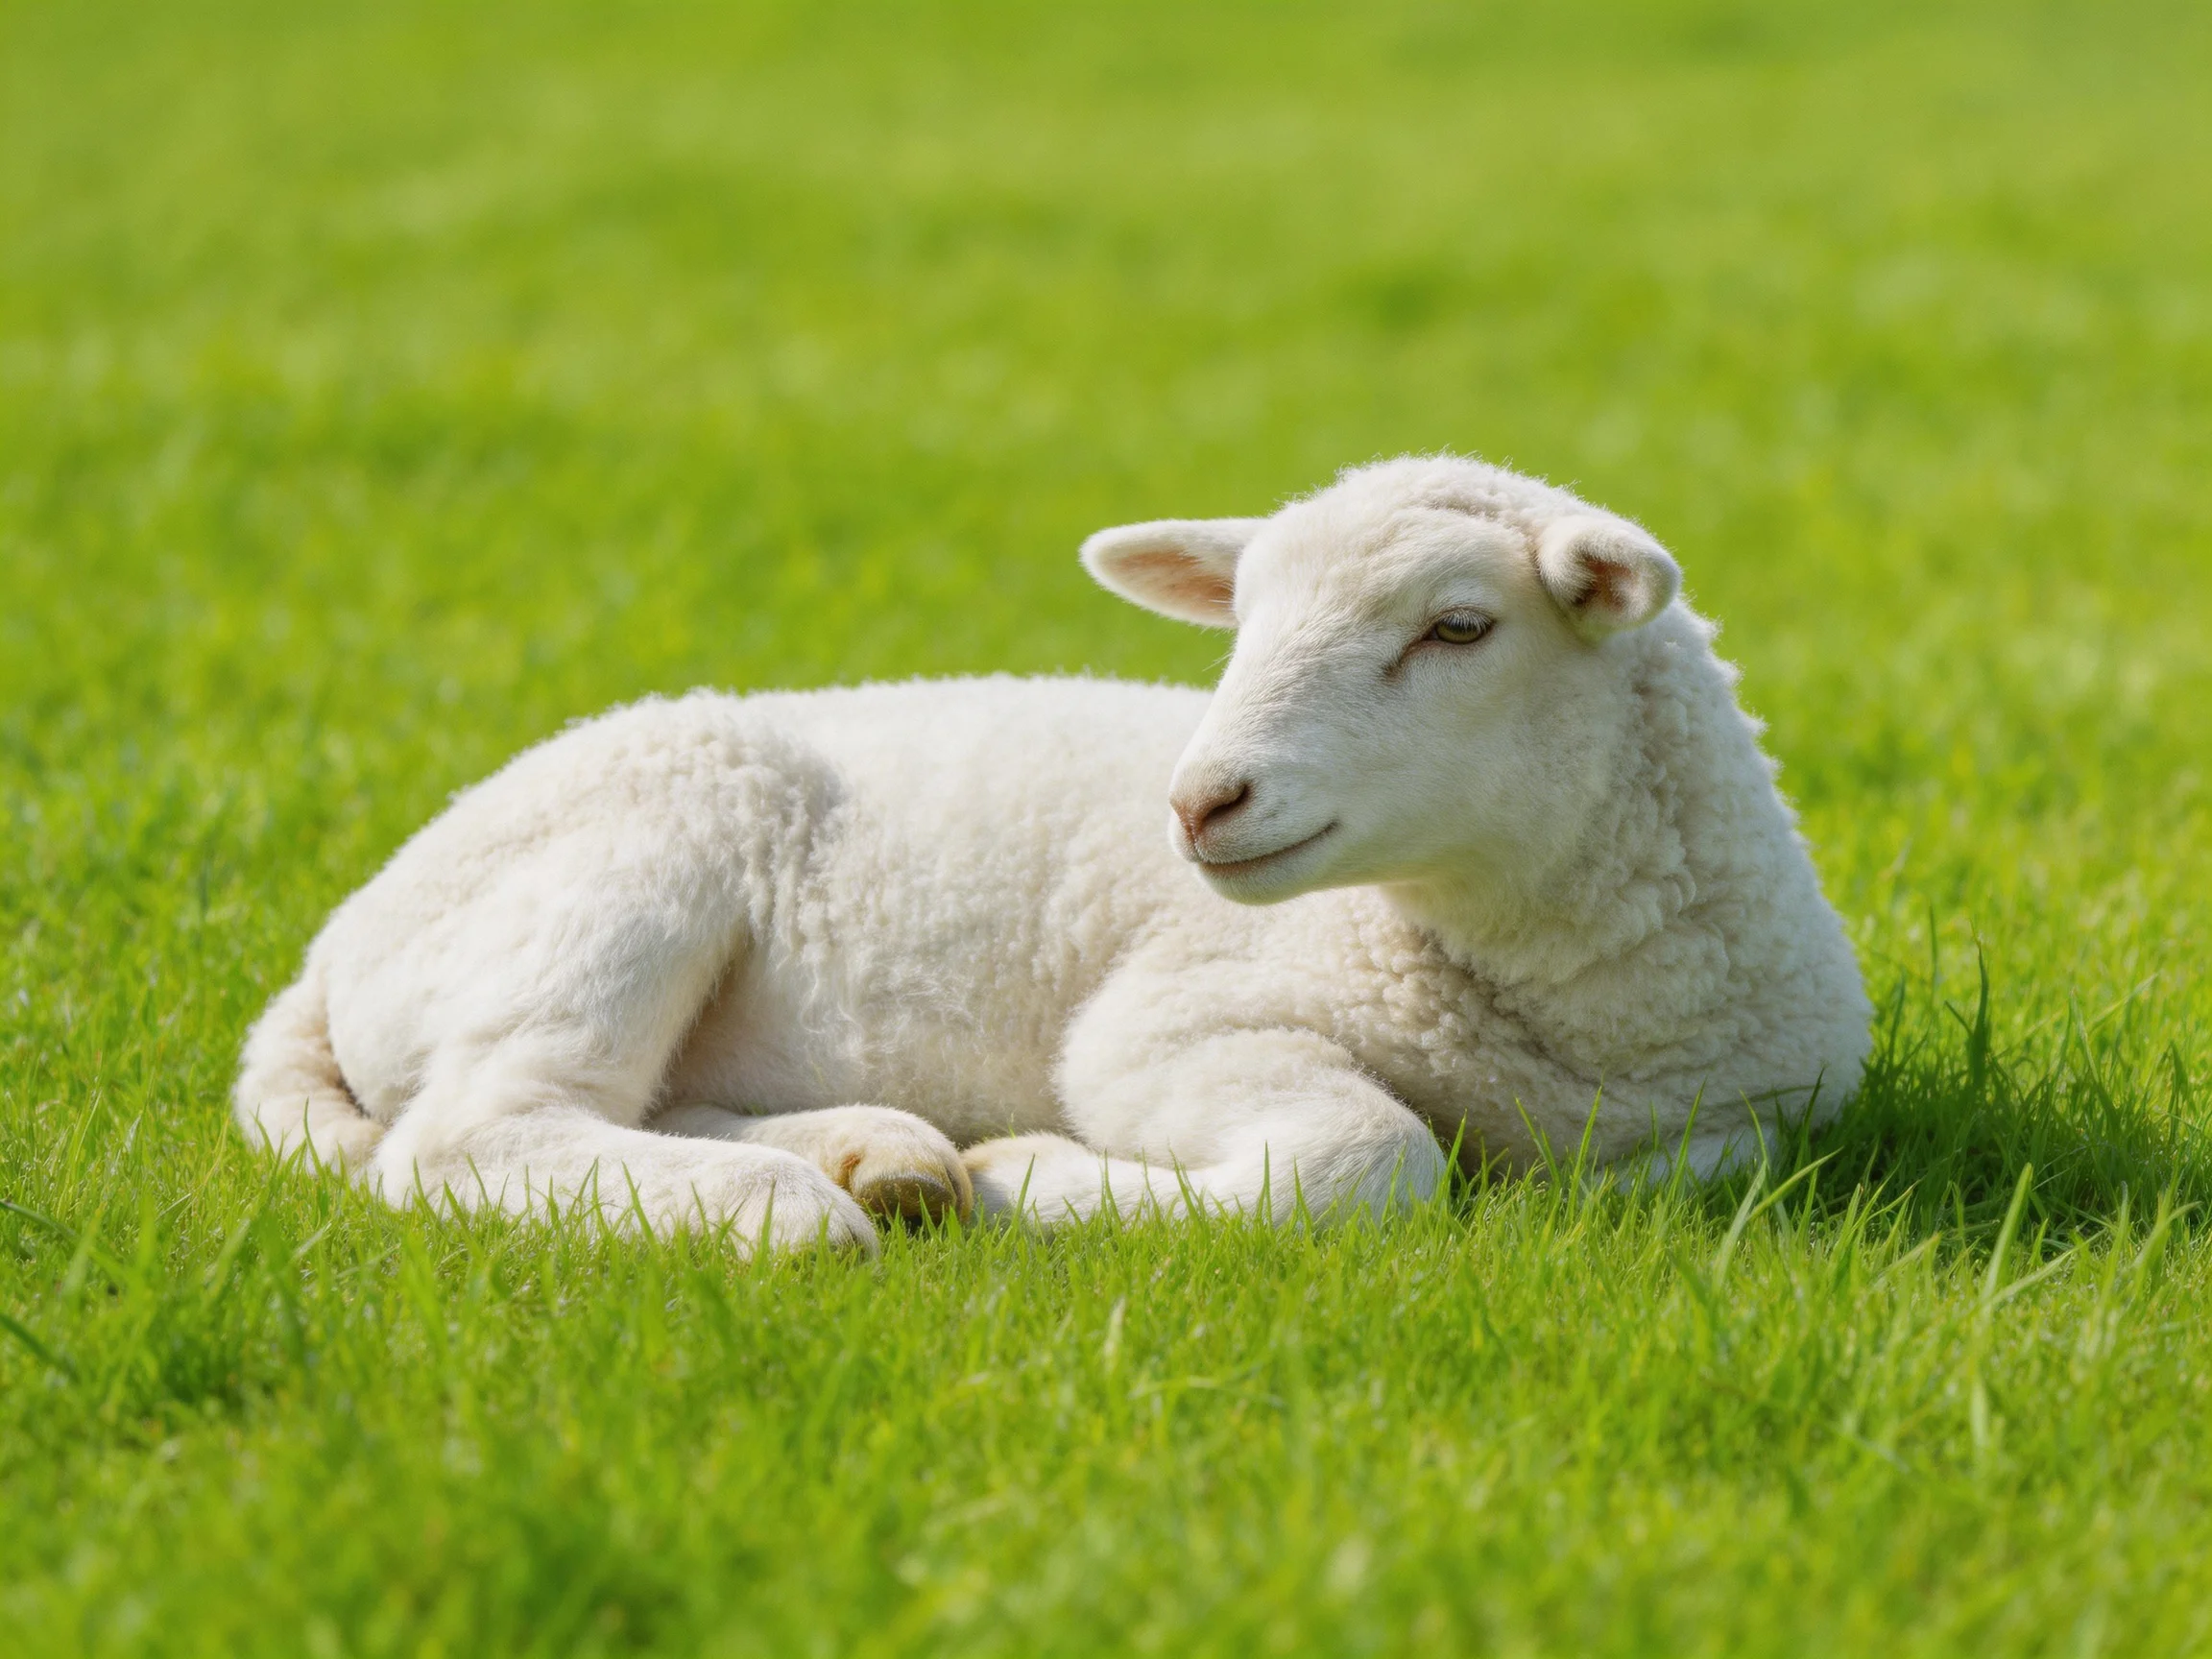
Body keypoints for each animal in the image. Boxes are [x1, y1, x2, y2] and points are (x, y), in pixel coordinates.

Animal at [234, 454, 1872, 1252]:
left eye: (1460, 627)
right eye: (1241, 622)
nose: (1199, 802)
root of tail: (330, 951)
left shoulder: (1764, 1114)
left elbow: (1689, 1176)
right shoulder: (1170, 1022)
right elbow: (1365, 1161)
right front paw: (1037, 1173)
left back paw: (877, 1157)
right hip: (623, 866)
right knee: (476, 1128)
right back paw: (798, 1213)